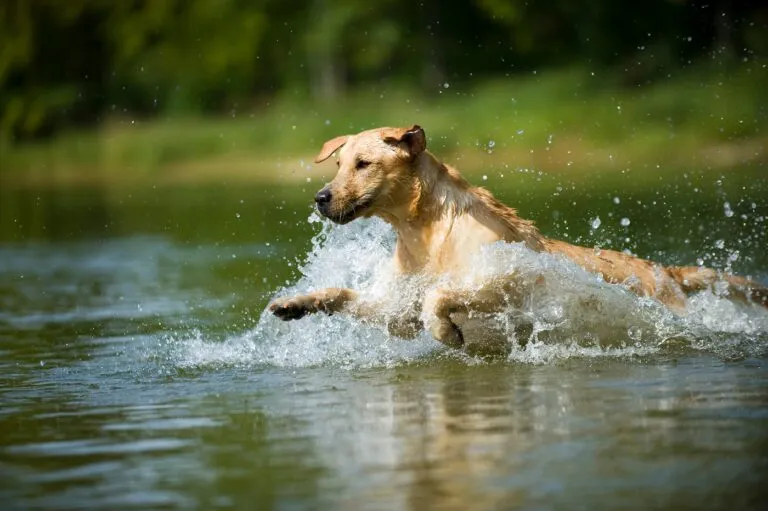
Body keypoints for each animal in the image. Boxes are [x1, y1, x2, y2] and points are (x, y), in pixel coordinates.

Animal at [268, 126, 764, 350]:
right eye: (338, 164)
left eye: (364, 164)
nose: (321, 198)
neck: (424, 232)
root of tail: (665, 271)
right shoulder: (395, 308)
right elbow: (346, 295)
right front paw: (294, 303)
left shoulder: (510, 281)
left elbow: (439, 296)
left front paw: (447, 333)